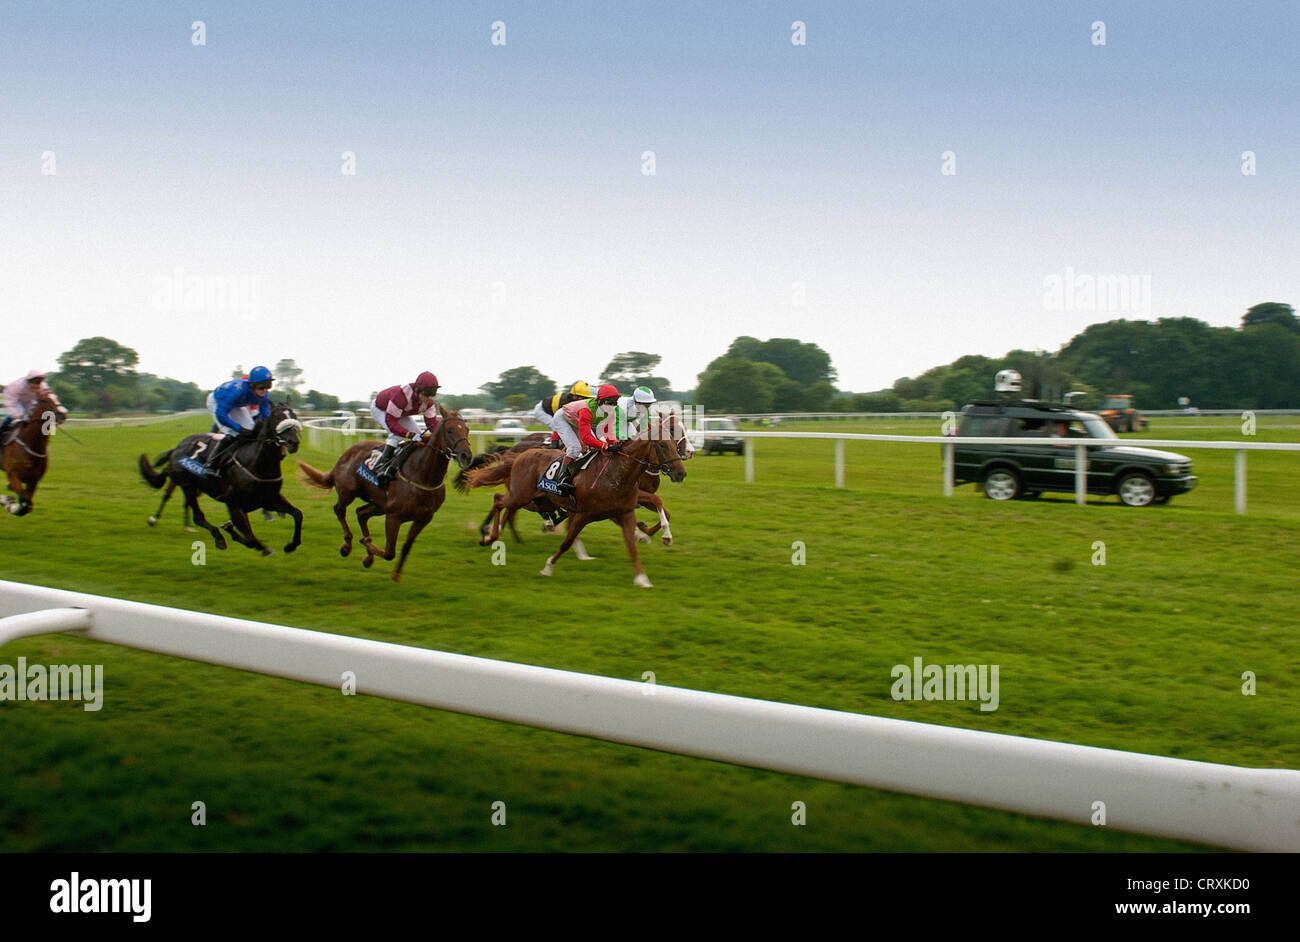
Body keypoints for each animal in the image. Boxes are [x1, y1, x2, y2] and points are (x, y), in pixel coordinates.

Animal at [137, 400, 306, 556]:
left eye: (295, 416)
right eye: (277, 417)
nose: (293, 442)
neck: (256, 463)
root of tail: (177, 448)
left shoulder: (269, 499)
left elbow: (298, 514)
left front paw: (291, 545)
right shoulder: (234, 504)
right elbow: (251, 539)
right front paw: (235, 533)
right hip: (187, 485)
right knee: (195, 514)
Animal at [297, 405, 475, 579]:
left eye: (467, 429)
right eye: (450, 430)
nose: (466, 455)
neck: (423, 475)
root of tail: (344, 455)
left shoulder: (423, 519)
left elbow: (406, 547)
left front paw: (395, 575)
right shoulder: (393, 516)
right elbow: (389, 552)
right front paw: (367, 544)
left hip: (379, 504)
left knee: (361, 513)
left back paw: (368, 555)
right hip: (348, 492)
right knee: (339, 510)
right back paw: (347, 545)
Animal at [467, 420, 691, 587]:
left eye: (673, 443)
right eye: (662, 444)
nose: (681, 472)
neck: (616, 474)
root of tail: (519, 454)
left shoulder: (625, 511)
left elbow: (632, 543)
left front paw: (642, 576)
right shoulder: (584, 513)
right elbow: (567, 541)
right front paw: (548, 567)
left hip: (537, 499)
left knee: (507, 507)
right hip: (523, 495)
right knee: (499, 500)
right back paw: (489, 535)